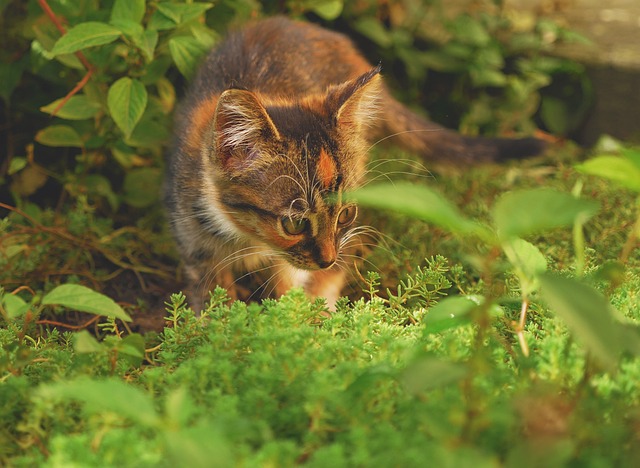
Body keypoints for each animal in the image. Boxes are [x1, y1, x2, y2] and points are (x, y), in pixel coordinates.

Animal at [165, 16, 544, 310]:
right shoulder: (194, 246)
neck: (246, 238)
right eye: (294, 223)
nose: (327, 258)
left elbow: (291, 293)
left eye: (346, 213)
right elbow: (211, 303)